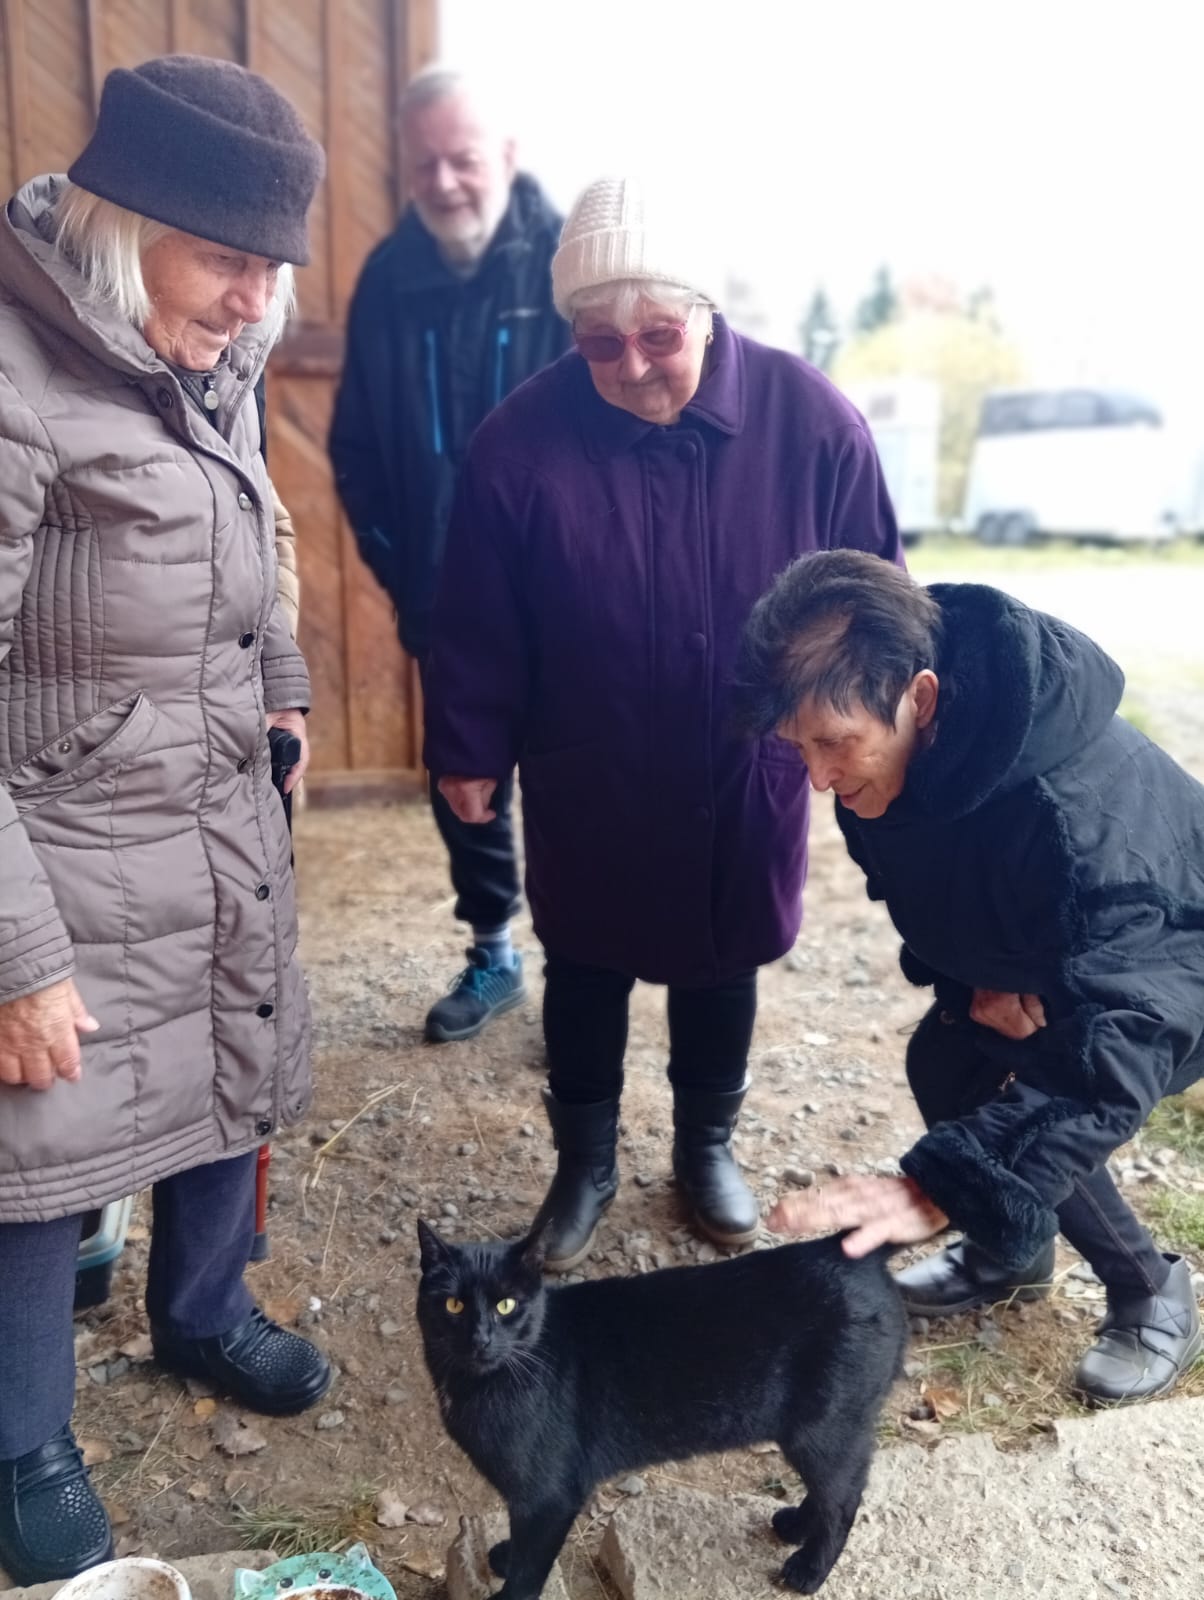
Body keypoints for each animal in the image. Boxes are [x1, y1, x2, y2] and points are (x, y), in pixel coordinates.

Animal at [416, 1218, 906, 1598]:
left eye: (506, 1305)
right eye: (453, 1304)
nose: (480, 1338)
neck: (473, 1385)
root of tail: (851, 1252)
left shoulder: (549, 1496)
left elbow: (531, 1566)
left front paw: (509, 1590)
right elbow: (522, 1546)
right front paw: (505, 1556)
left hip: (824, 1428)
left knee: (844, 1499)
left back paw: (808, 1569)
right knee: (832, 1490)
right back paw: (796, 1526)